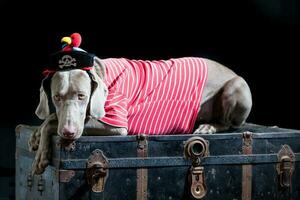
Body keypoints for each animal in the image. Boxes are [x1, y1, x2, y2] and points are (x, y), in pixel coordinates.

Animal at [29, 55, 252, 174]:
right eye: (56, 97)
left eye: (82, 96)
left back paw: (209, 126)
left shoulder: (116, 124)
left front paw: (41, 153)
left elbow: (52, 121)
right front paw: (36, 136)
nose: (68, 133)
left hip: (236, 86)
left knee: (229, 123)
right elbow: (52, 117)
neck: (102, 73)